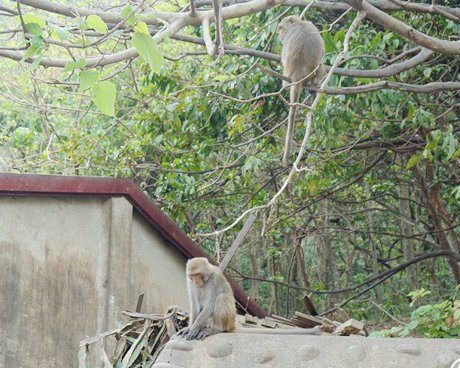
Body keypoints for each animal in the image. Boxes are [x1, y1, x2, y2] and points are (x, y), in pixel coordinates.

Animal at [276, 15, 328, 167]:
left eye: (281, 28)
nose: (280, 35)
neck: (300, 23)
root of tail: (297, 76)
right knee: (321, 68)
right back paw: (315, 84)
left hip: (289, 74)